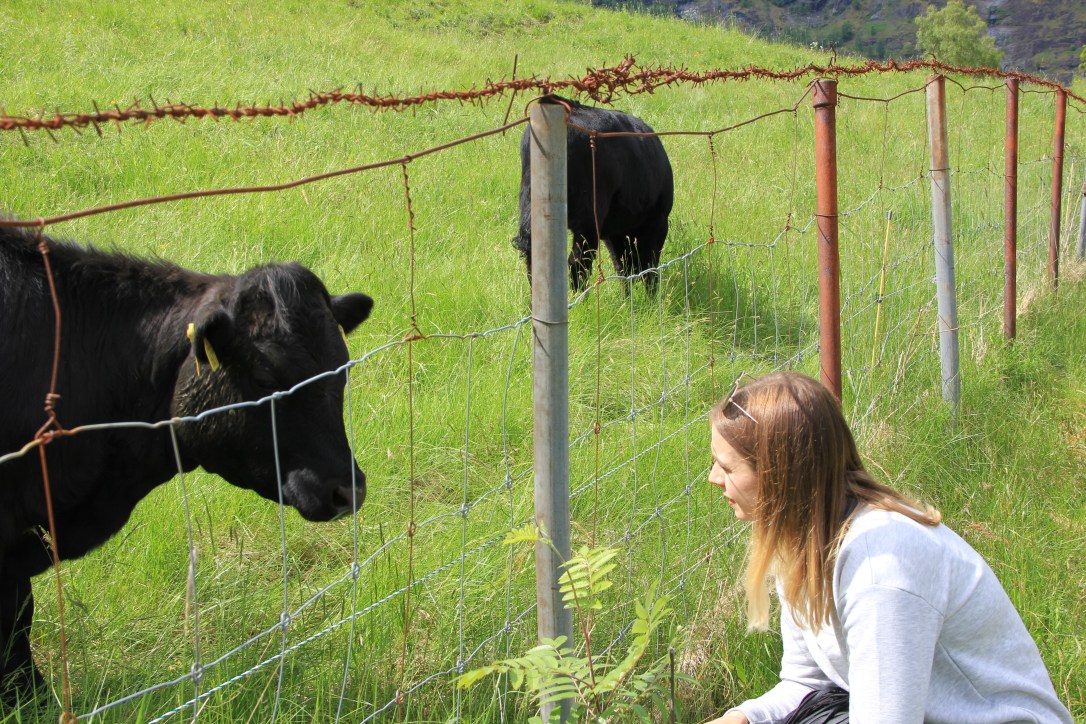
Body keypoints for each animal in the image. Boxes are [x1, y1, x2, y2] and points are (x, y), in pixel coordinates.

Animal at [513, 95, 674, 293]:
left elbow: (623, 267)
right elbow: (648, 266)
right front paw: (649, 295)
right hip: (589, 219)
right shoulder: (657, 222)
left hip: (531, 205)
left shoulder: (613, 233)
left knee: (533, 256)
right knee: (578, 263)